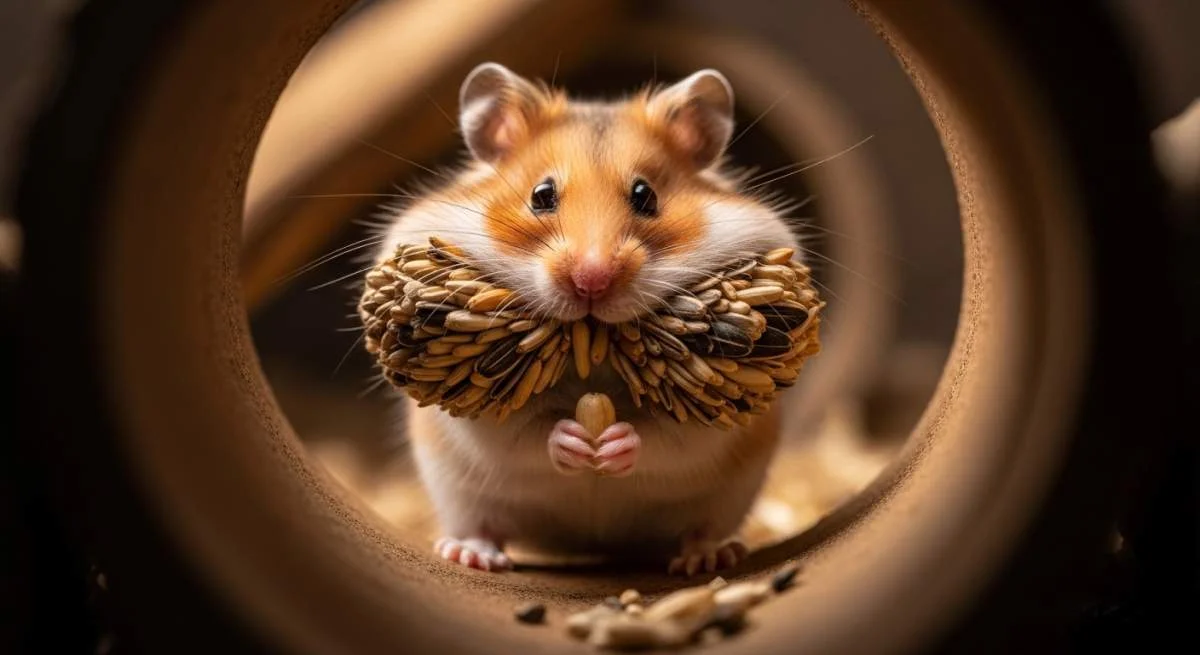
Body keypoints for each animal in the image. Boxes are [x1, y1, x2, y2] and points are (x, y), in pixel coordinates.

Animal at [373, 63, 799, 575]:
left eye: (645, 195)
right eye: (541, 195)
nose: (592, 281)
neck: (591, 346)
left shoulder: (715, 423)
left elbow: (666, 436)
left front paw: (612, 443)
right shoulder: (478, 419)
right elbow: (524, 431)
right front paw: (575, 442)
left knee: (702, 528)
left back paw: (709, 556)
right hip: (458, 493)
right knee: (482, 525)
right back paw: (471, 555)